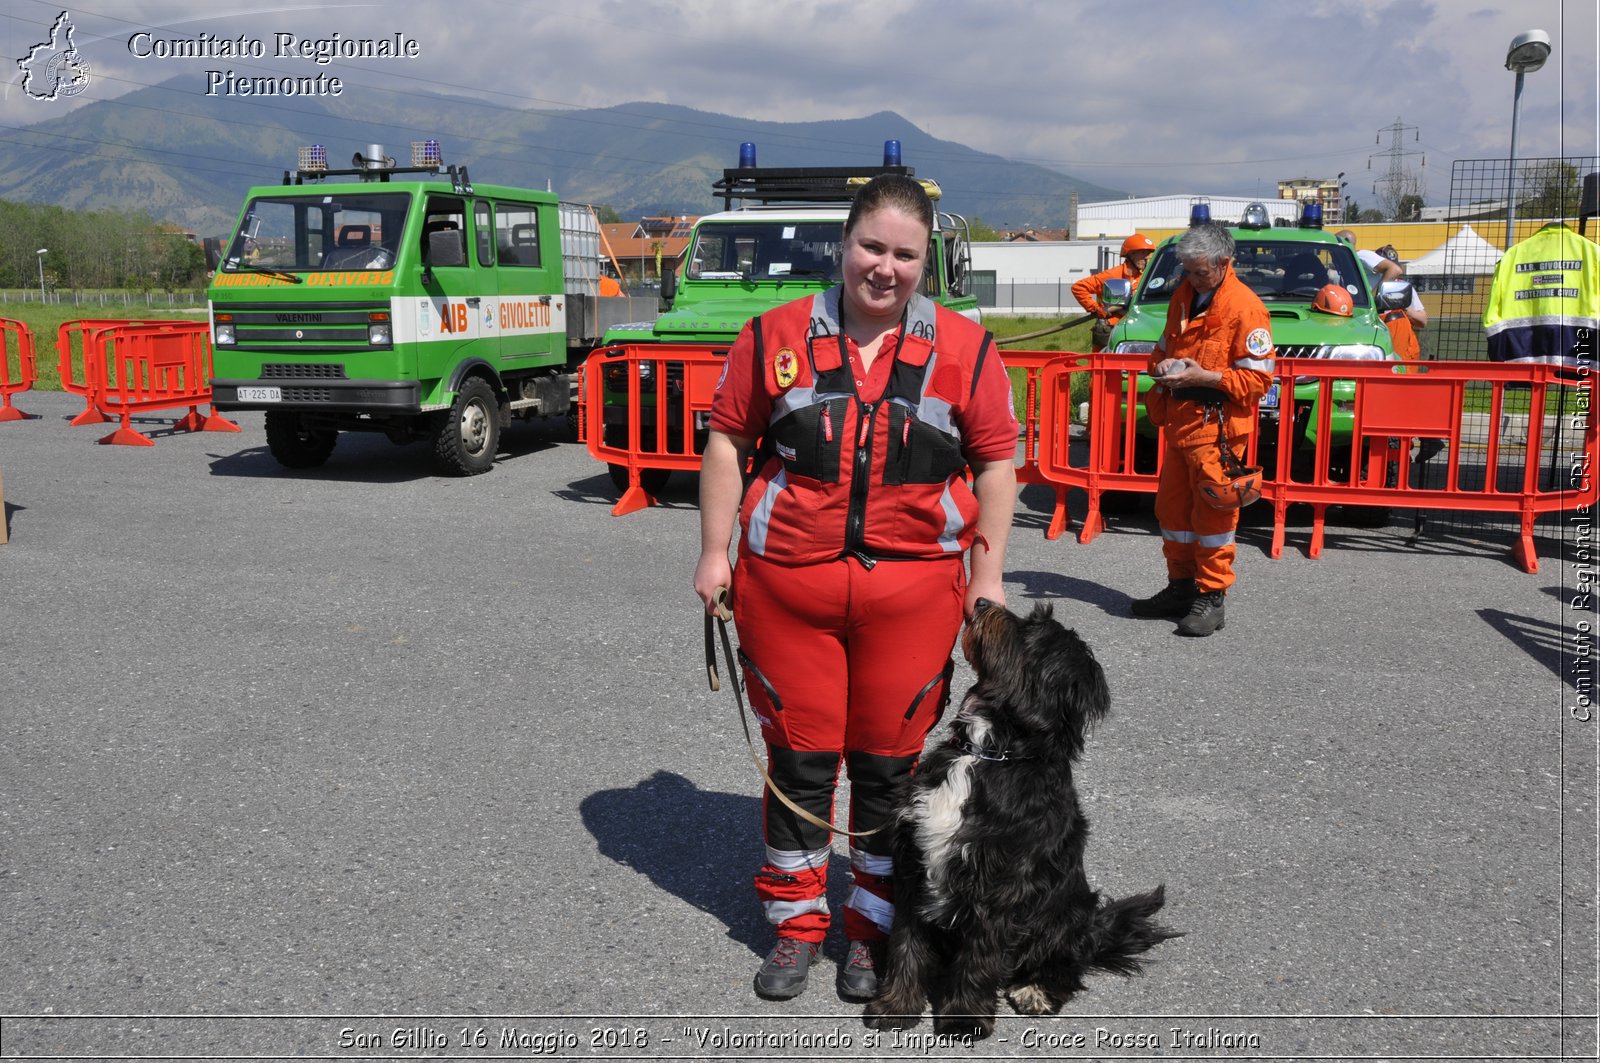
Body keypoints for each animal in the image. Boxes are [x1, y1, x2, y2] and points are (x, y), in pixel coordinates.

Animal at [864, 601, 1177, 1043]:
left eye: (1031, 628)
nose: (981, 603)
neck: (988, 752)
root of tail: (1096, 927)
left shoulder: (1001, 882)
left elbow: (979, 958)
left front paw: (964, 1018)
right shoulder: (913, 863)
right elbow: (906, 944)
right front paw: (896, 1006)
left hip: (1066, 915)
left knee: (1066, 965)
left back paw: (1037, 991)